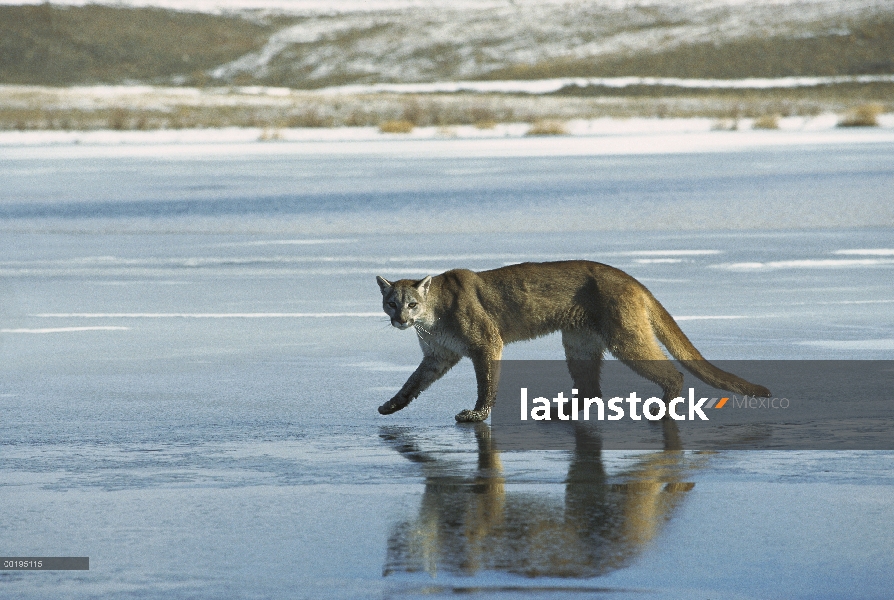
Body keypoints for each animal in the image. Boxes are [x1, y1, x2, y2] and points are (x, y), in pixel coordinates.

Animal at [376, 260, 768, 424]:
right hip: (579, 342)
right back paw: (552, 410)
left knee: (672, 373)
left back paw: (661, 407)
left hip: (624, 337)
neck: (432, 318)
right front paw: (391, 405)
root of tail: (632, 278)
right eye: (392, 303)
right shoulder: (438, 356)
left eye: (412, 303)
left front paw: (476, 414)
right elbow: (413, 382)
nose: (400, 320)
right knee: (591, 390)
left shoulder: (486, 342)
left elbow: (485, 382)